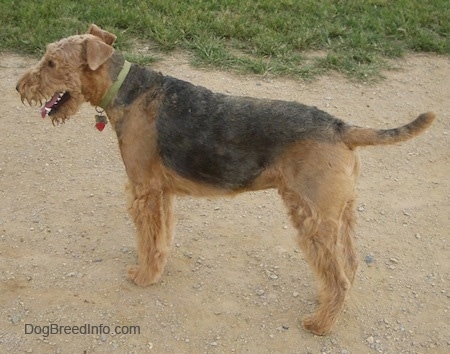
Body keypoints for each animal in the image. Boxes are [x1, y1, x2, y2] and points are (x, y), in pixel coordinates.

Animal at [15, 24, 434, 334]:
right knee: (348, 264)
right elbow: (161, 238)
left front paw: (143, 275)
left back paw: (319, 323)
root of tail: (339, 126)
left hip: (313, 215)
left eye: (52, 62)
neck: (129, 92)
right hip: (339, 212)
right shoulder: (161, 192)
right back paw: (326, 304)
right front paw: (156, 269)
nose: (19, 87)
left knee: (340, 275)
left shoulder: (144, 190)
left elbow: (147, 239)